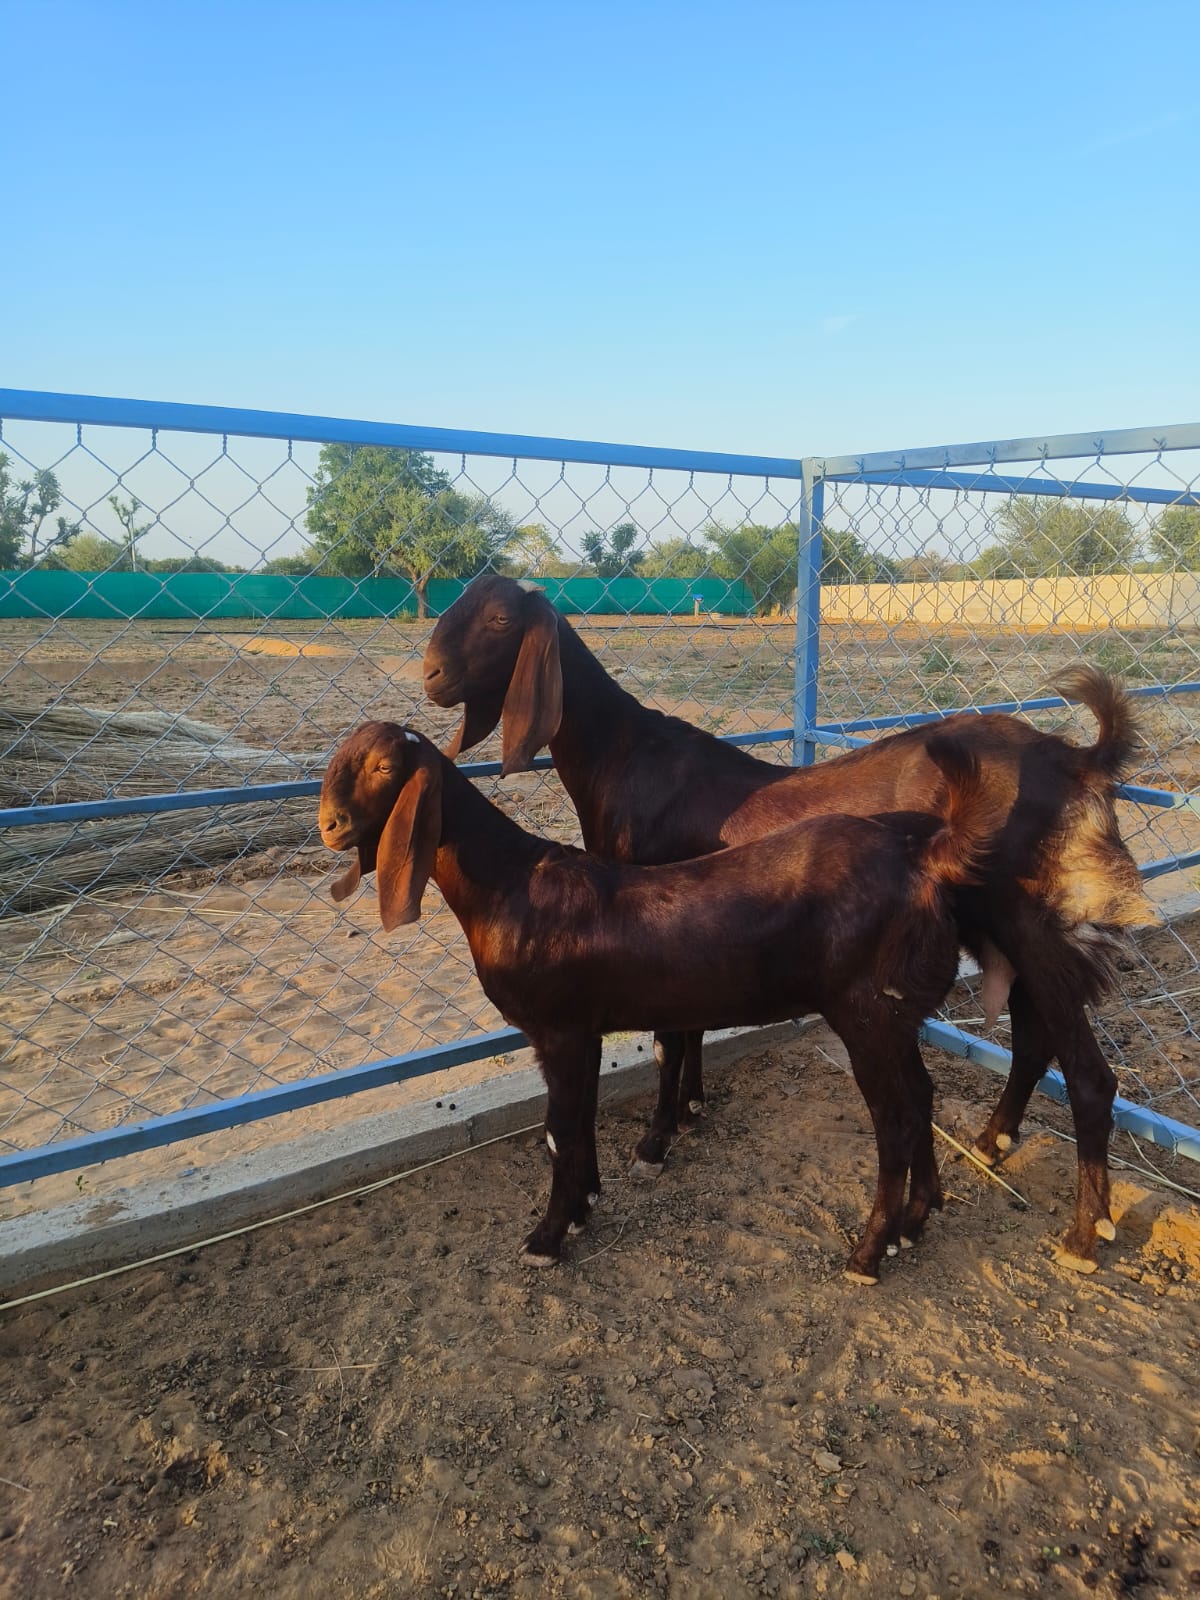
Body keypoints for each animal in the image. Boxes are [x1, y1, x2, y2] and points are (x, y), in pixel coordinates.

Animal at [319, 721, 1001, 1282]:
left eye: (383, 767)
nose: (329, 825)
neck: (511, 886)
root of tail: (926, 863)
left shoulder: (558, 1029)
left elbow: (559, 1130)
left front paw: (546, 1237)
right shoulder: (586, 1029)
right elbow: (577, 1120)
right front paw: (585, 1206)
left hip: (865, 1012)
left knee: (896, 1120)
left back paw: (868, 1253)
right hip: (896, 1016)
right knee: (922, 1095)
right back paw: (915, 1223)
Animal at [422, 575, 1158, 1272]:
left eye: (499, 619)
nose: (430, 674)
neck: (626, 761)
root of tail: (1081, 762)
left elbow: (668, 1038)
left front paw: (656, 1139)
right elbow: (688, 1028)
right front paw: (689, 1110)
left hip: (1030, 921)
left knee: (1089, 1074)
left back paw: (1083, 1233)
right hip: (1003, 929)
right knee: (1034, 1038)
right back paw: (992, 1143)